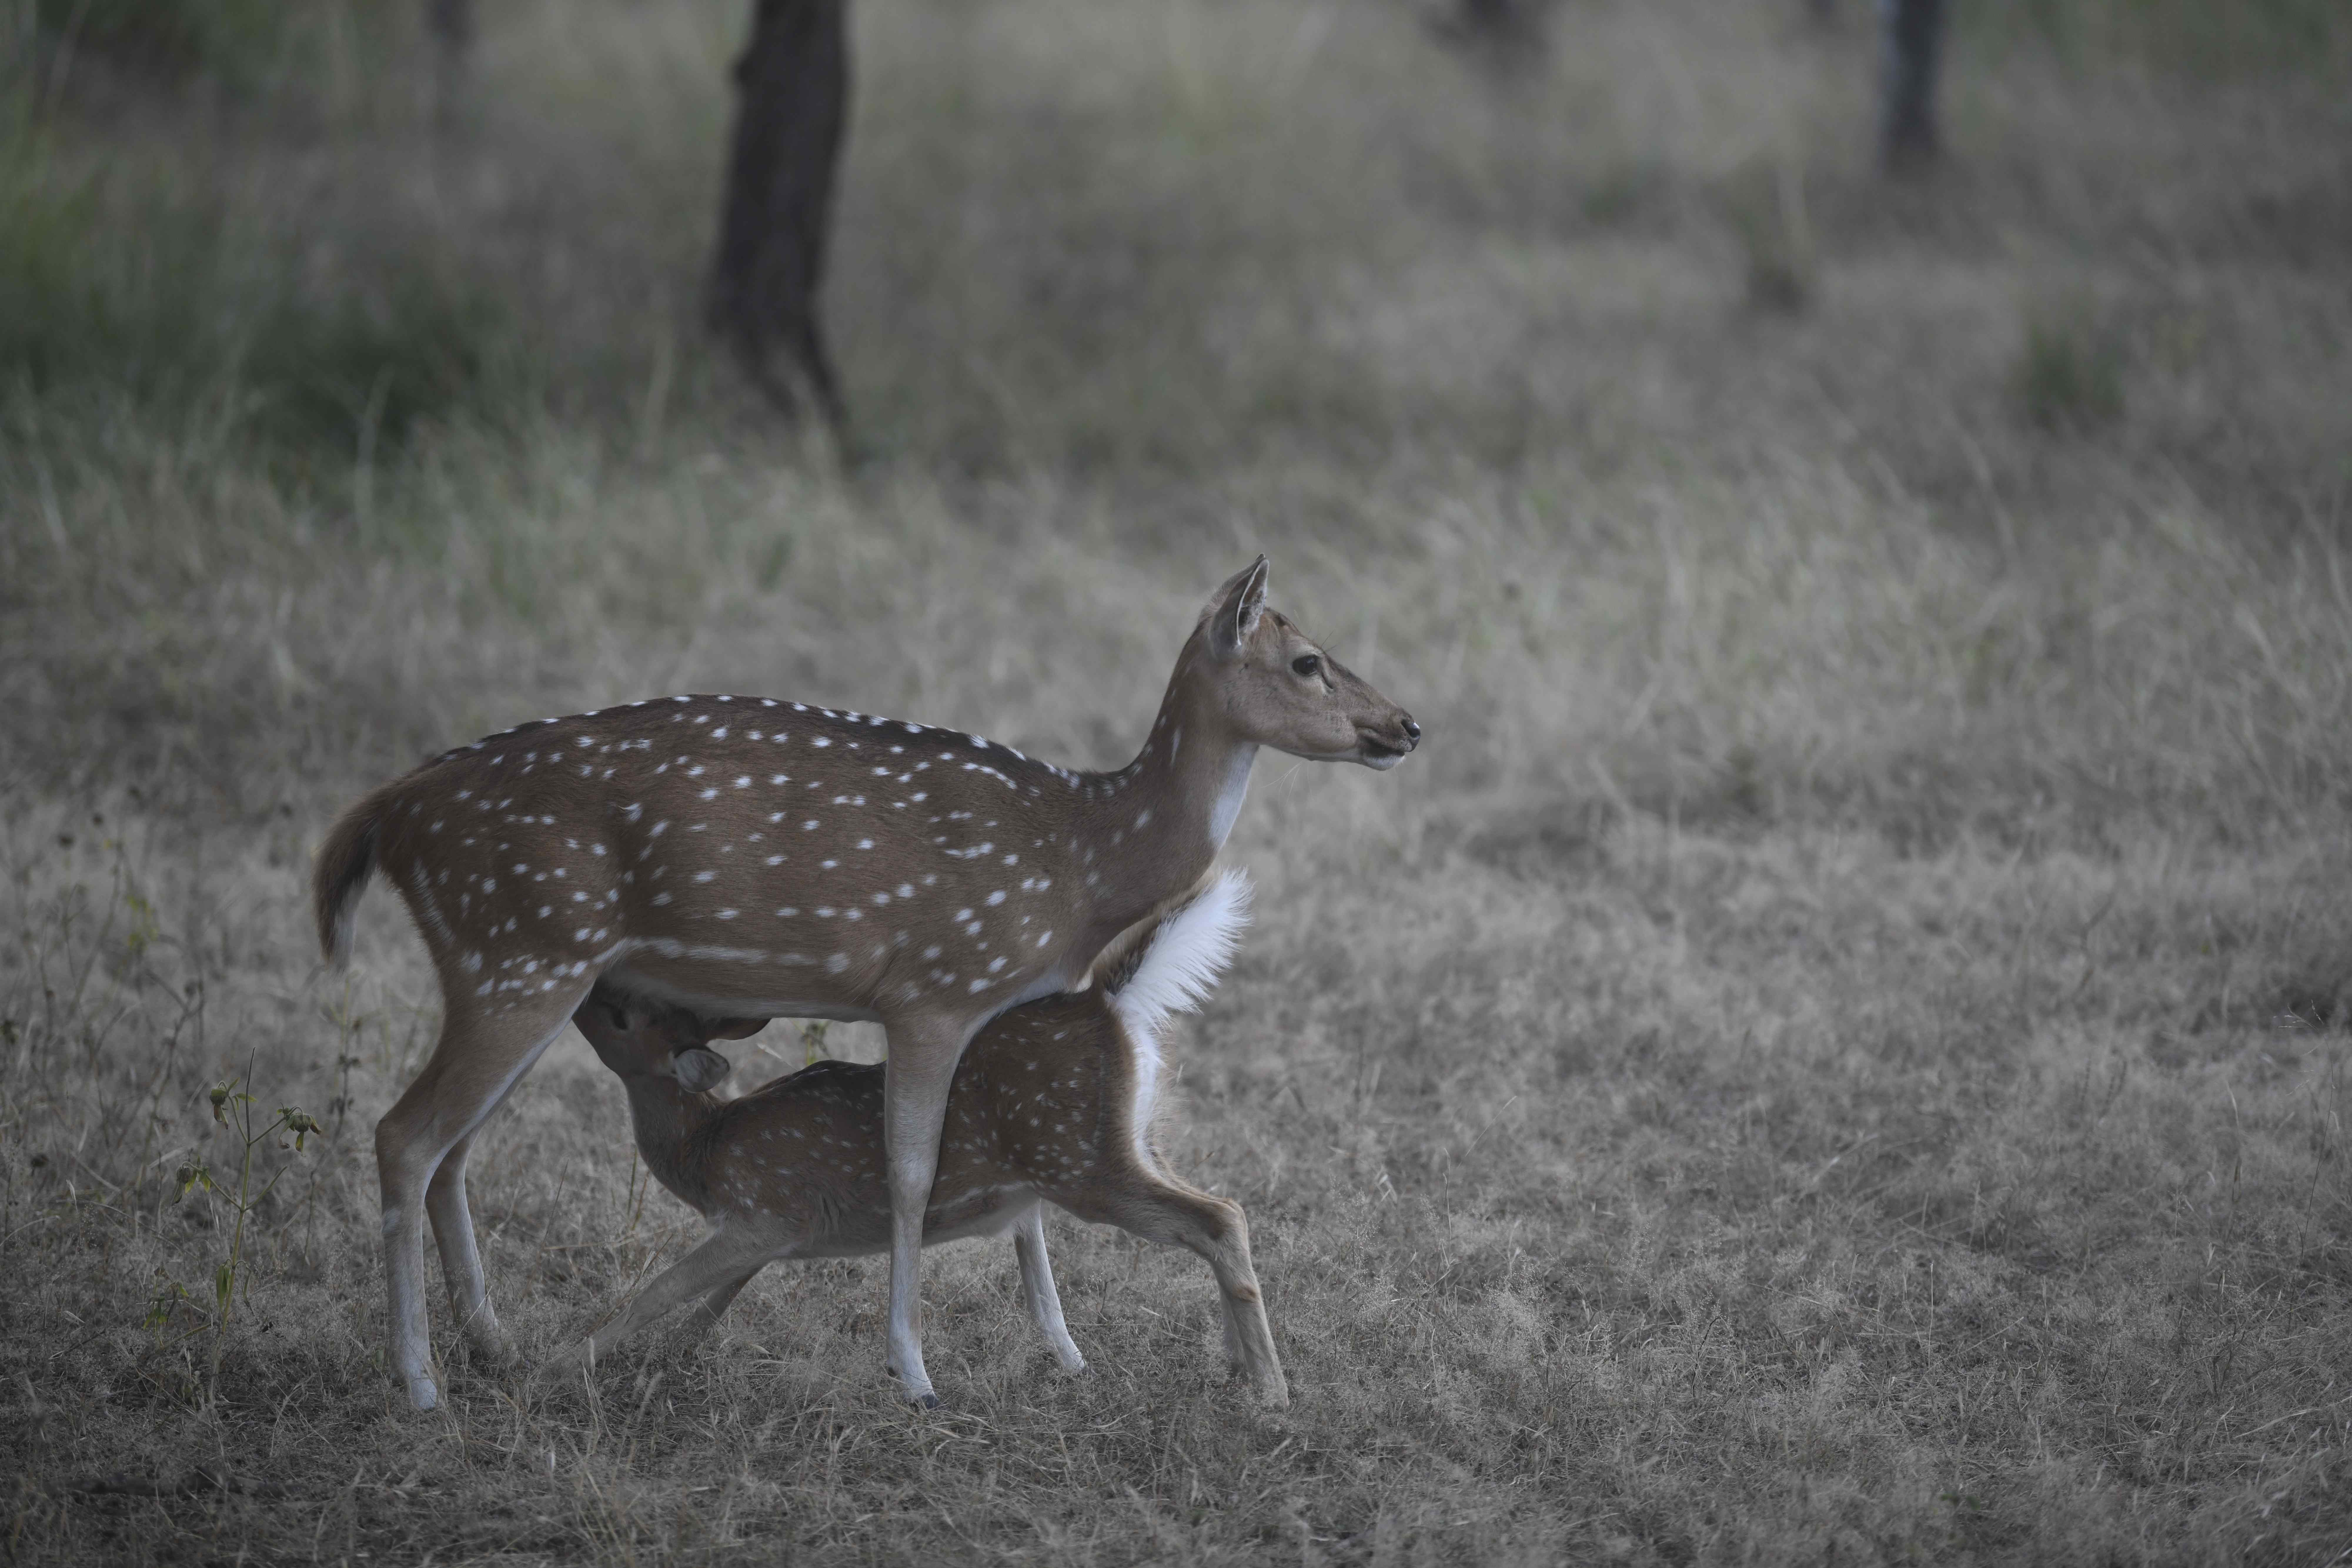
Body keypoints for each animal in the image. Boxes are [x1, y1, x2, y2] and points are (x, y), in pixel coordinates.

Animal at [541, 870, 1286, 1405]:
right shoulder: (776, 1234)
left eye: (623, 1014)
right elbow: (710, 1300)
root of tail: (1108, 1000)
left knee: (1220, 1215)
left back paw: (1271, 1389)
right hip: (1132, 1141)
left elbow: (661, 1288)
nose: (588, 986)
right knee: (1209, 1215)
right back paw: (1233, 1363)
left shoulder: (768, 1209)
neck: (704, 1145)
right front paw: (666, 1358)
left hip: (1078, 1158)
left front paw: (569, 1360)